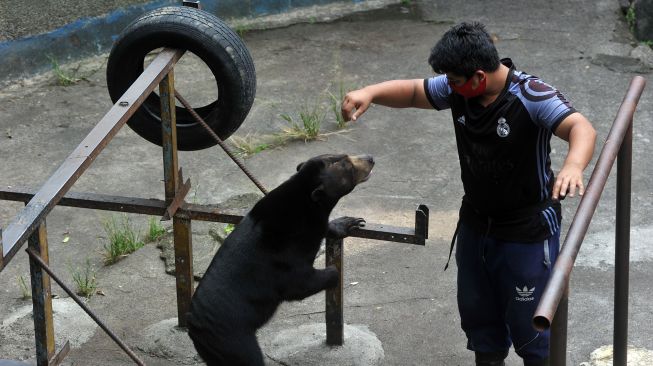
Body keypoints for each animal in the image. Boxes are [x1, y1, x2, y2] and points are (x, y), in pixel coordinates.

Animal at [186, 153, 374, 364]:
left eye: (347, 157)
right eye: (349, 166)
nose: (370, 158)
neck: (305, 202)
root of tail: (194, 327)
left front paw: (347, 223)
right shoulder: (283, 256)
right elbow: (298, 284)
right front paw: (334, 272)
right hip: (232, 339)